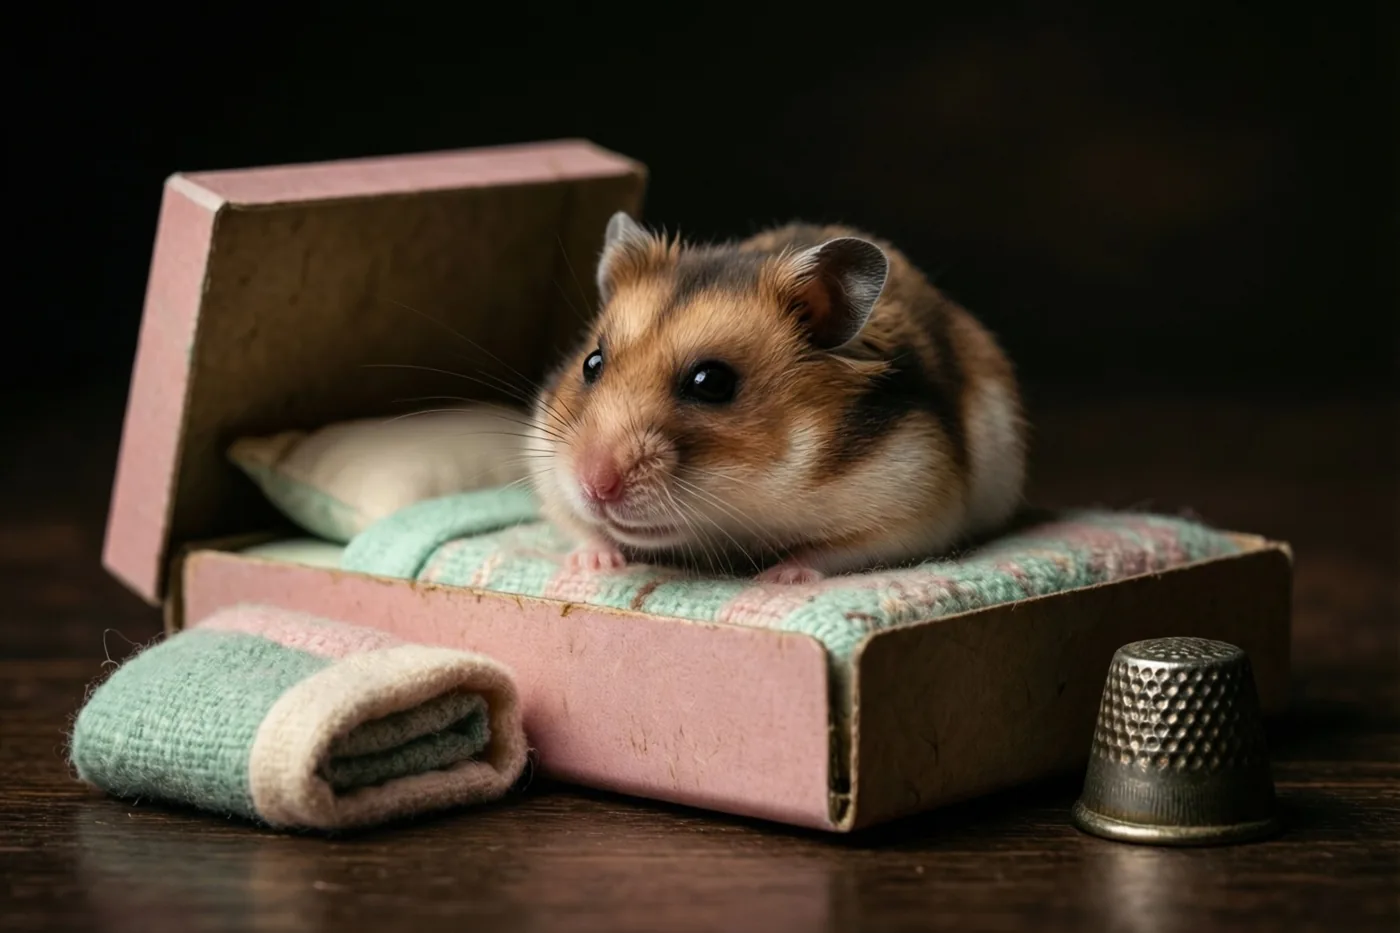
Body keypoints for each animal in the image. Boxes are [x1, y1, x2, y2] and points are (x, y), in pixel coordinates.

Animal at [527, 212, 1027, 584]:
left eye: (711, 382)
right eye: (592, 363)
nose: (594, 485)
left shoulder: (914, 502)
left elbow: (833, 551)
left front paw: (775, 580)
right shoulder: (549, 471)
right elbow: (579, 527)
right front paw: (592, 565)